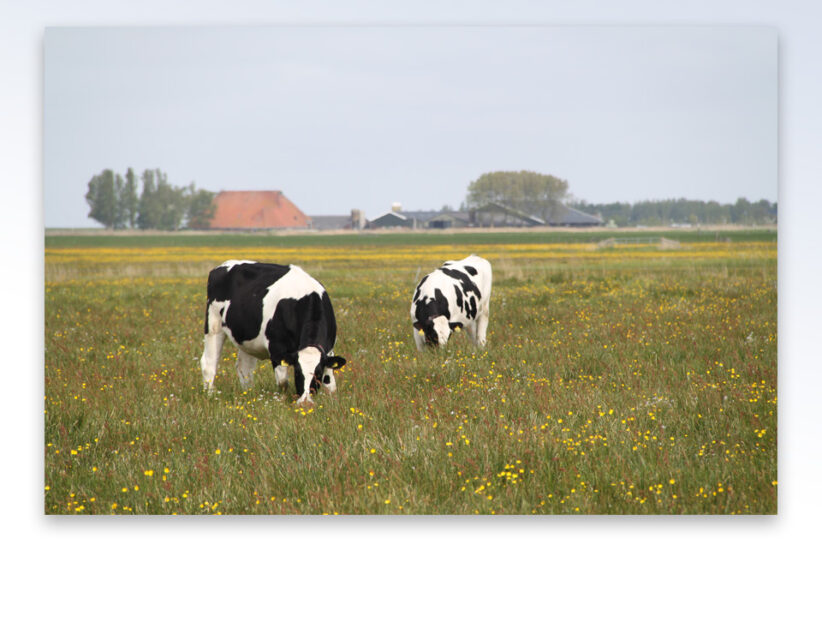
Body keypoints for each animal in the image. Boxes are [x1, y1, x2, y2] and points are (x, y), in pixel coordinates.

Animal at [201, 260, 346, 404]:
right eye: (297, 372)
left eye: (318, 373)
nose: (305, 402)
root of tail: (223, 265)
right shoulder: (276, 348)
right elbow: (283, 382)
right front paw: (282, 400)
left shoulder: (328, 349)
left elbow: (330, 383)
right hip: (213, 324)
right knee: (209, 363)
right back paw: (210, 395)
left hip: (247, 337)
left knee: (244, 367)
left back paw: (249, 394)